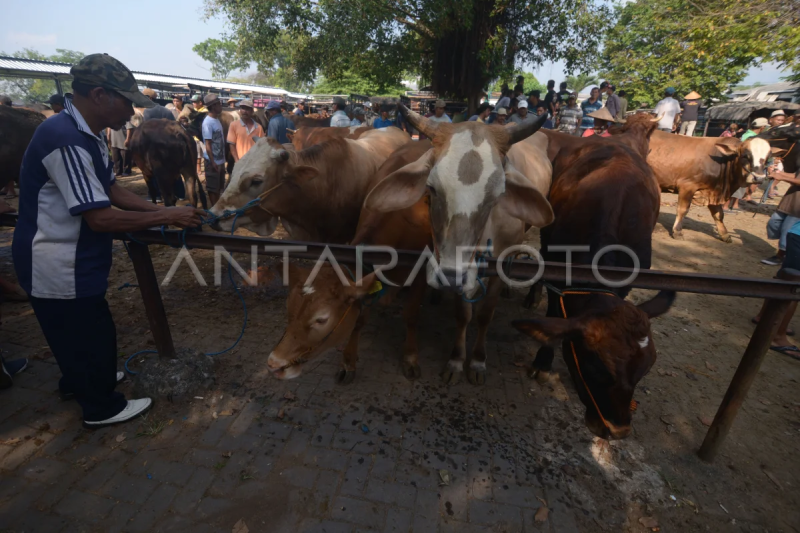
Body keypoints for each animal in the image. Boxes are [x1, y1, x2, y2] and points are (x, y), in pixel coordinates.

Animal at [512, 115, 676, 440]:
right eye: (595, 367)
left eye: (645, 370)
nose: (618, 430)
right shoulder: (559, 267)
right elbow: (555, 315)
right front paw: (542, 361)